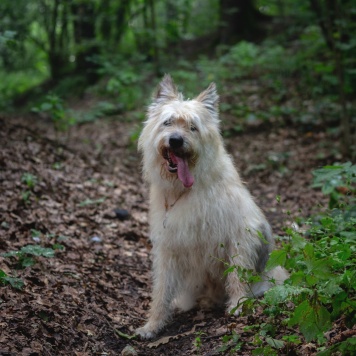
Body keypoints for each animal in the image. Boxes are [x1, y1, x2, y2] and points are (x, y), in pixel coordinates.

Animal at [135, 76, 288, 340]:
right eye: (168, 122)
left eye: (192, 127)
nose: (176, 140)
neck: (184, 190)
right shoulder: (168, 247)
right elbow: (162, 290)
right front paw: (153, 324)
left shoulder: (240, 232)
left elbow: (238, 272)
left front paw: (238, 304)